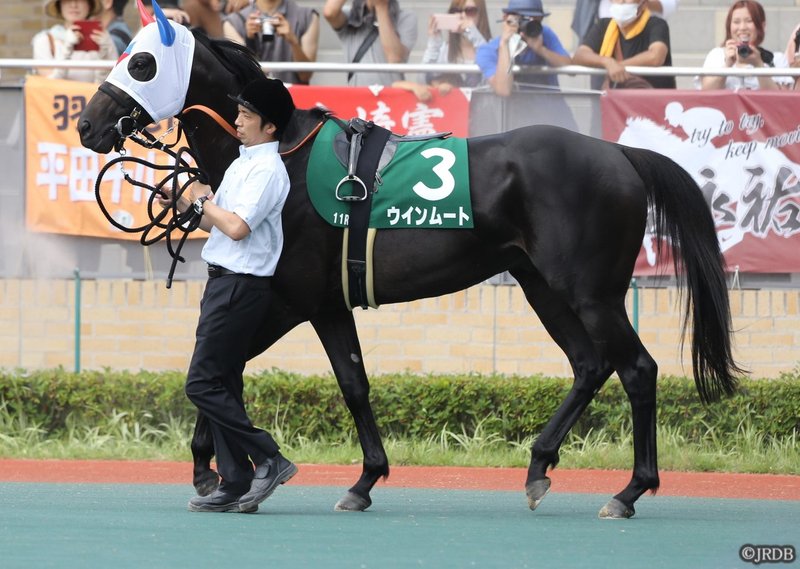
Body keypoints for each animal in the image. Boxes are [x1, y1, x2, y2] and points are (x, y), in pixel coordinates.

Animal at [78, 17, 740, 516]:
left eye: (142, 64)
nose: (87, 124)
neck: (282, 156)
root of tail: (621, 153)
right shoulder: (298, 302)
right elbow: (233, 372)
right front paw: (223, 471)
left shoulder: (302, 300)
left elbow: (320, 381)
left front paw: (334, 478)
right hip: (544, 287)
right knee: (590, 364)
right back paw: (538, 465)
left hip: (590, 292)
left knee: (638, 370)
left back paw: (629, 491)